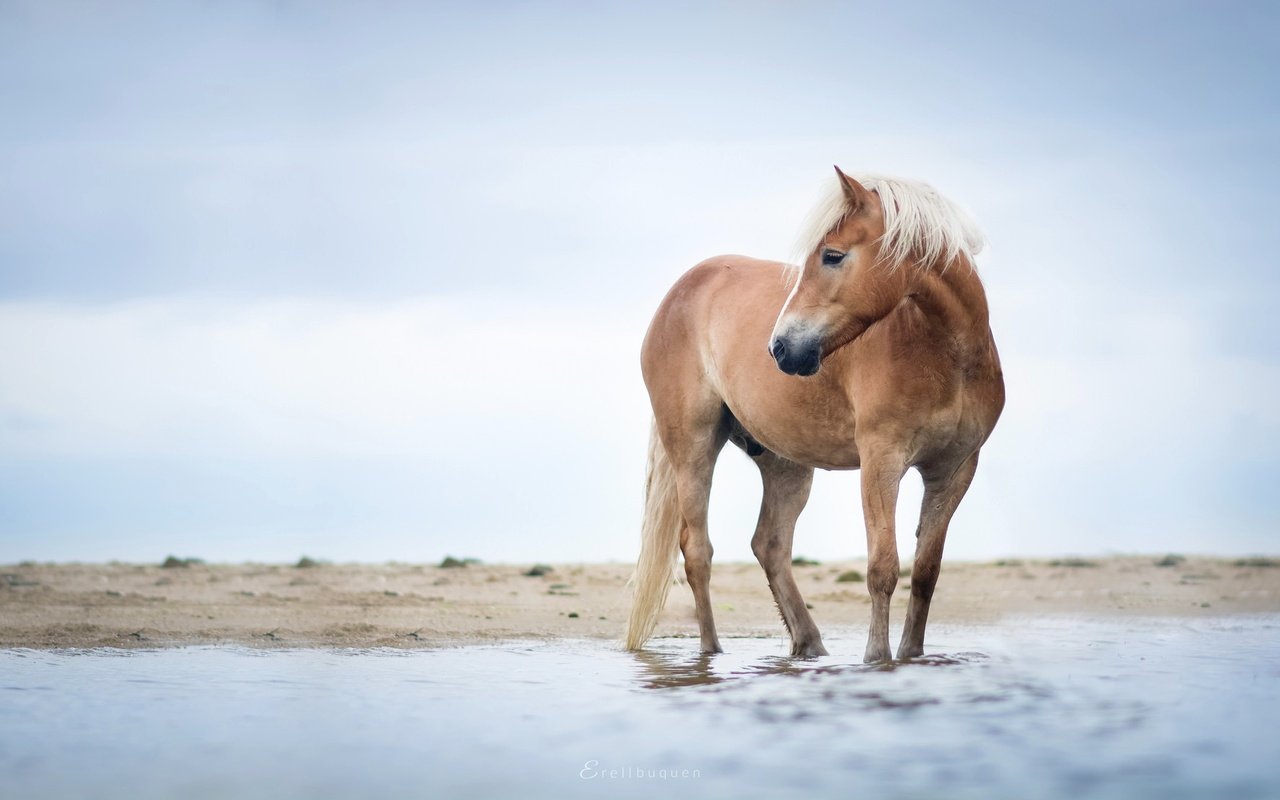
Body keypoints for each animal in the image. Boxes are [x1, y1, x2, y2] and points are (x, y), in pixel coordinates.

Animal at [624, 166, 1003, 660]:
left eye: (832, 255)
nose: (780, 348)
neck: (947, 356)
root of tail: (680, 293)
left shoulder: (954, 470)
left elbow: (925, 573)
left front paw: (910, 656)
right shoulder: (881, 461)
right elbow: (883, 567)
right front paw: (876, 658)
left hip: (785, 464)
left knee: (770, 545)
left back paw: (810, 644)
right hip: (693, 445)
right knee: (698, 551)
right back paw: (712, 650)